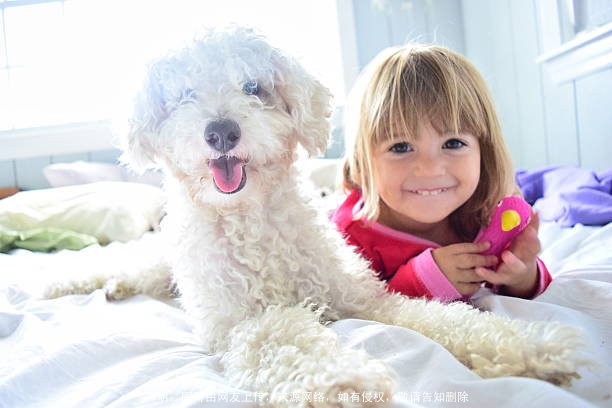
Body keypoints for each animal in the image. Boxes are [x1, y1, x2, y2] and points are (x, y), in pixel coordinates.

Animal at [49, 27, 588, 404]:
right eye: (183, 95)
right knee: (122, 265)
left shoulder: (364, 299)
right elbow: (284, 337)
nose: (221, 131)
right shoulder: (239, 325)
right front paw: (342, 381)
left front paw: (530, 348)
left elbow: (440, 318)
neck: (250, 219)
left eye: (253, 86)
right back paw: (84, 283)